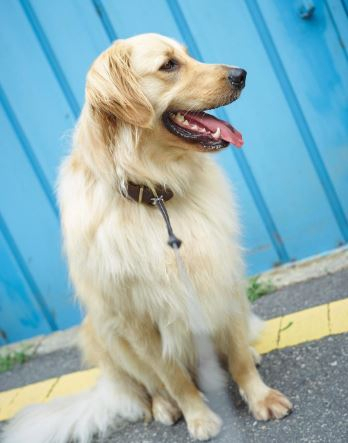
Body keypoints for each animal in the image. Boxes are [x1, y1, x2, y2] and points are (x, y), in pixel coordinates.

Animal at [3, 33, 290, 442]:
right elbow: (173, 377)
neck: (157, 194)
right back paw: (164, 407)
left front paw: (260, 397)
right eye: (168, 65)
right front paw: (198, 417)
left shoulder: (221, 280)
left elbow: (235, 354)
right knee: (149, 387)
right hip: (105, 333)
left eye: (187, 55)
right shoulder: (139, 321)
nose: (242, 74)